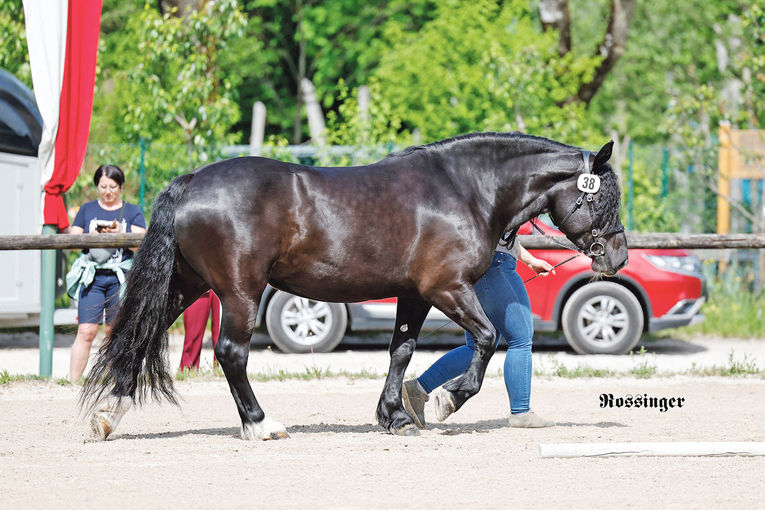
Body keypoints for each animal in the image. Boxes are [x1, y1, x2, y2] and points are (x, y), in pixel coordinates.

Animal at [82, 130, 628, 438]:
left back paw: (110, 415)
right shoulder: (447, 289)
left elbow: (401, 351)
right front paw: (447, 400)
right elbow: (489, 338)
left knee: (141, 336)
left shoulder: (413, 295)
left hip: (187, 284)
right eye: (603, 198)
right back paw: (260, 425)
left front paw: (396, 416)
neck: (465, 190)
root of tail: (192, 180)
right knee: (231, 353)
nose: (619, 256)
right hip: (239, 292)